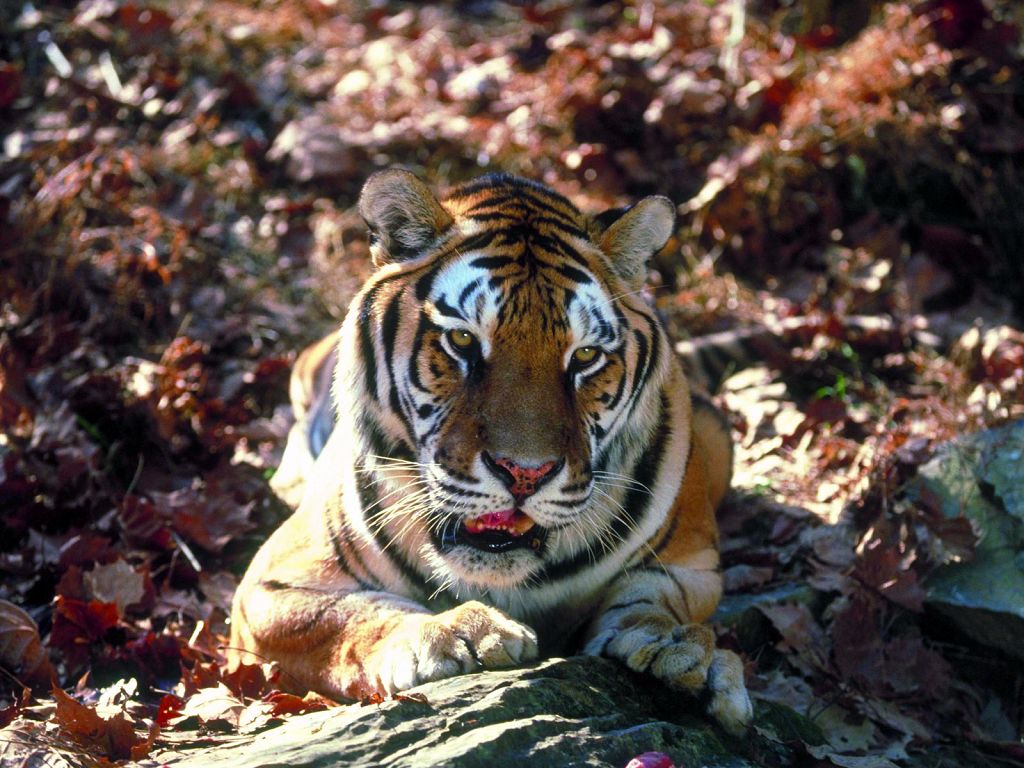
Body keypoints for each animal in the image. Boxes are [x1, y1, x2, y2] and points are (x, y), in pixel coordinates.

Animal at [229, 170, 753, 734]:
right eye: (462, 340)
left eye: (585, 355)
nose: (525, 473)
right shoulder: (272, 586)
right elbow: (352, 616)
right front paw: (454, 633)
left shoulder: (690, 563)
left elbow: (654, 603)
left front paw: (684, 655)